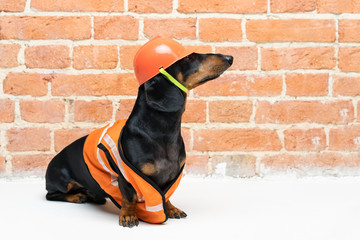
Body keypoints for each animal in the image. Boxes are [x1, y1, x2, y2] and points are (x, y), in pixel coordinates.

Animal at [45, 37, 233, 227]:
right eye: (189, 58)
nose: (230, 57)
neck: (162, 132)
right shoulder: (127, 176)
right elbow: (130, 197)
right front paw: (128, 215)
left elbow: (165, 195)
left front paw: (171, 209)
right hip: (62, 181)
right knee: (52, 195)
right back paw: (78, 196)